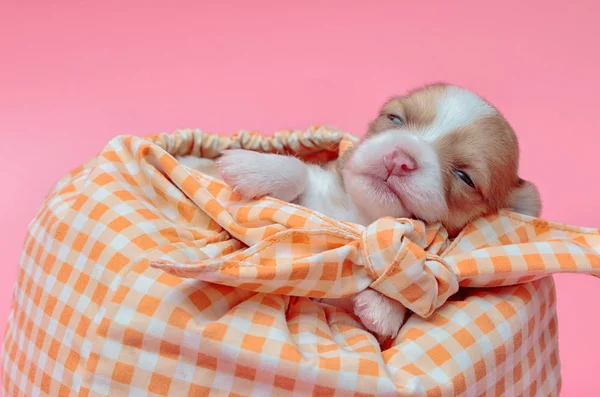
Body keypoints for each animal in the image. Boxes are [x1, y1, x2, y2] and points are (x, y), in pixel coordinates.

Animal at [176, 82, 540, 338]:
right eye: (394, 118)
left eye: (465, 177)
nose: (400, 157)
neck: (360, 218)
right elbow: (299, 171)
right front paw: (252, 166)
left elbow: (414, 278)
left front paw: (384, 306)